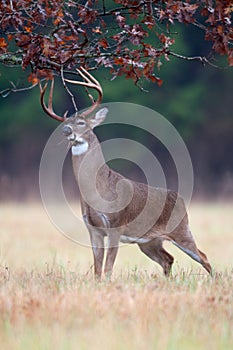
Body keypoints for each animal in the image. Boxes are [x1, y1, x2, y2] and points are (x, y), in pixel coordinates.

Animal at [39, 66, 211, 278]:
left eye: (81, 123)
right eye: (67, 123)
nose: (66, 130)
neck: (99, 188)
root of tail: (181, 200)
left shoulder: (116, 225)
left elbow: (108, 268)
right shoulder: (93, 228)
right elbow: (97, 269)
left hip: (181, 229)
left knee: (204, 257)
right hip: (148, 241)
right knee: (168, 259)